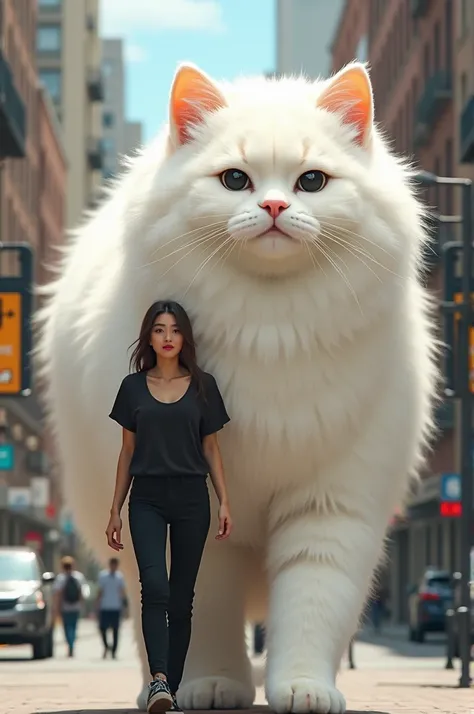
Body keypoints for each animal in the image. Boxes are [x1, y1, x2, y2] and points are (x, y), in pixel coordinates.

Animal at [37, 62, 436, 712]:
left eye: (312, 181)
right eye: (234, 179)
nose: (273, 204)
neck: (271, 328)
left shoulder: (331, 505)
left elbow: (312, 604)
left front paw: (302, 688)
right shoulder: (194, 518)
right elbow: (200, 612)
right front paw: (213, 684)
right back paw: (158, 688)